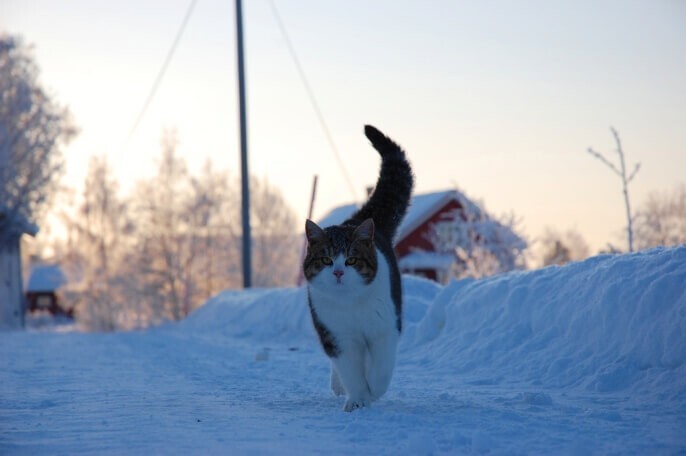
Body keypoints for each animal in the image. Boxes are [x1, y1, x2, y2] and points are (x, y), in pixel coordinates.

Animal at [306, 124, 414, 410]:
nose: (338, 271)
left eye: (351, 259)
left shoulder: (385, 328)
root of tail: (358, 219)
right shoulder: (338, 337)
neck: (351, 304)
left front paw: (373, 391)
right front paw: (357, 399)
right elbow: (350, 372)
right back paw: (338, 387)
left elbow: (381, 369)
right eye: (326, 260)